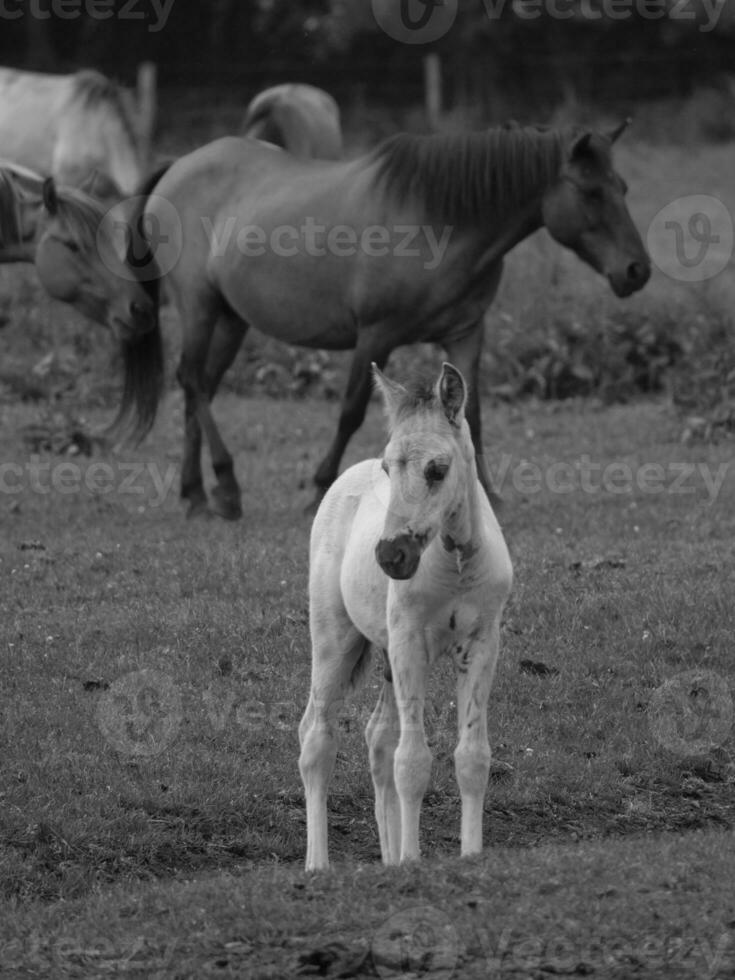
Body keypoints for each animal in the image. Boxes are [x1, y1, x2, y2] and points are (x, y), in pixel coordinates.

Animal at [298, 364, 512, 868]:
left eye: (437, 469)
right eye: (387, 467)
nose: (391, 555)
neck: (457, 566)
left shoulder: (482, 643)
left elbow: (471, 756)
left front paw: (468, 855)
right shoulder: (410, 642)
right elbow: (412, 760)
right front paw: (414, 862)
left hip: (386, 653)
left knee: (378, 736)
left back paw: (388, 856)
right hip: (336, 639)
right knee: (316, 737)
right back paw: (318, 865)